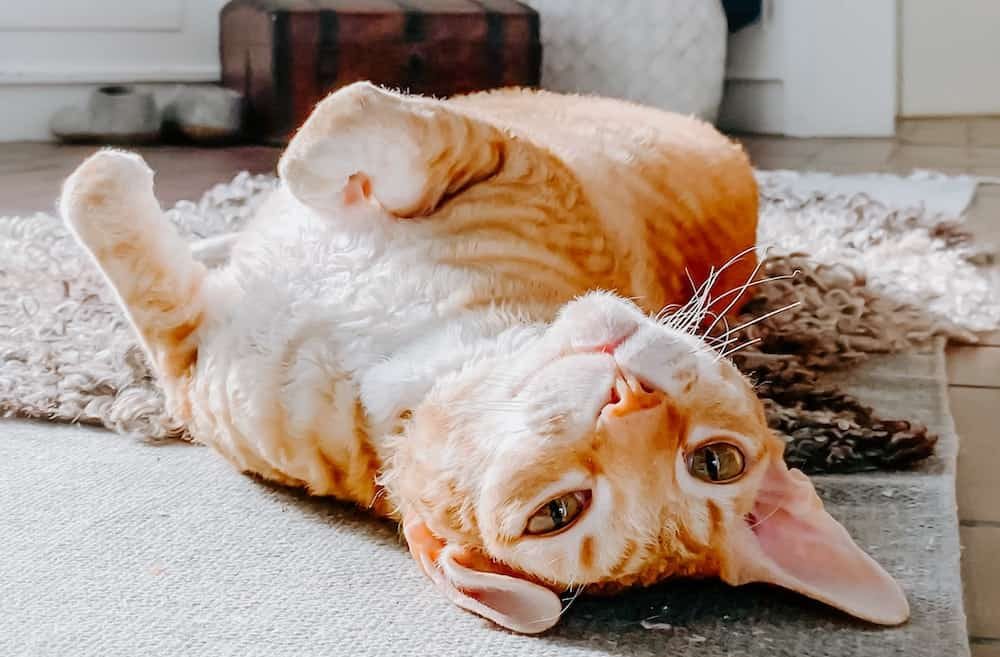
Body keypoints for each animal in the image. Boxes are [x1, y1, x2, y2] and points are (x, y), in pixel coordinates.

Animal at [60, 82, 908, 634]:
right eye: (718, 460)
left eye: (556, 514)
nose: (628, 398)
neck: (413, 352)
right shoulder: (506, 156)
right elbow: (349, 122)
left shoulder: (188, 358)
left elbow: (131, 227)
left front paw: (110, 175)